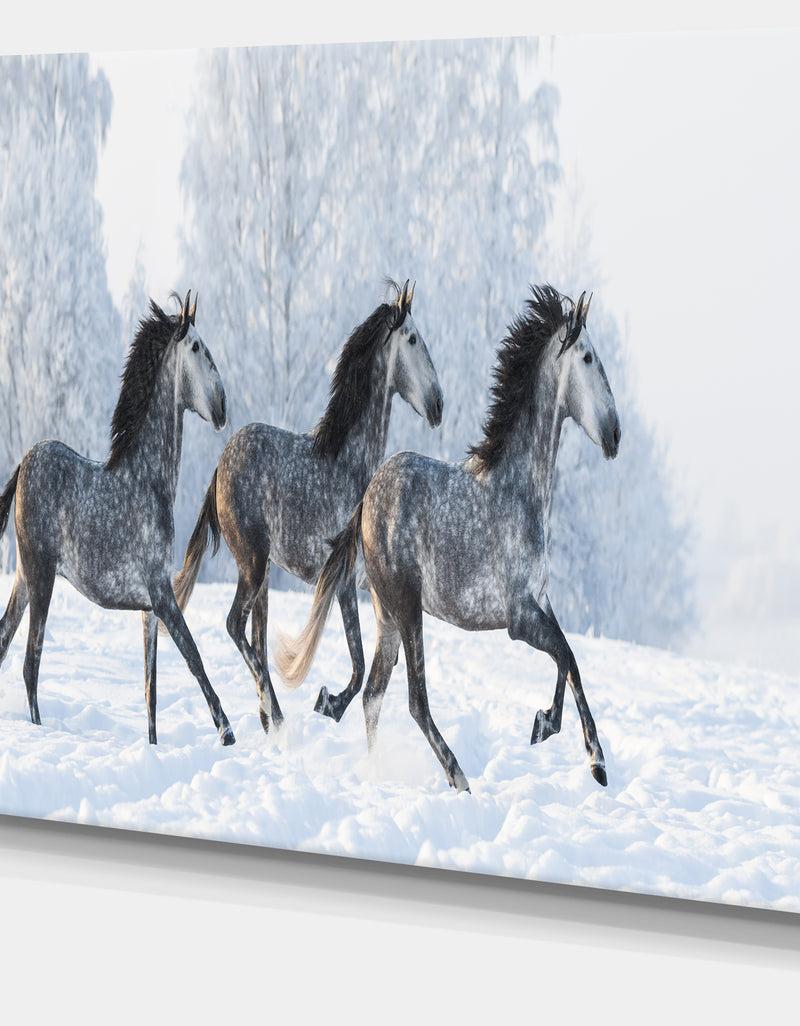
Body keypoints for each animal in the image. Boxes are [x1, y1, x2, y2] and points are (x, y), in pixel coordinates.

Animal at [0, 291, 236, 747]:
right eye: (197, 347)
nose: (222, 408)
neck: (146, 481)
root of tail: (25, 462)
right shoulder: (162, 595)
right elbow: (194, 657)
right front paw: (227, 732)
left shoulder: (148, 608)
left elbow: (150, 690)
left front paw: (155, 747)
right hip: (41, 578)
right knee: (30, 663)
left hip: (23, 578)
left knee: (5, 642)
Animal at [171, 279, 443, 735]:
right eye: (413, 339)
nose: (438, 404)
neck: (350, 465)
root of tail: (221, 465)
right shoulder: (346, 581)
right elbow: (359, 664)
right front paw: (327, 703)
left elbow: (374, 664)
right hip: (253, 564)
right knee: (236, 627)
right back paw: (275, 715)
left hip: (261, 576)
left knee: (256, 638)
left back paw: (269, 717)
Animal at [275, 284, 621, 792]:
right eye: (591, 358)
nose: (615, 435)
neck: (517, 490)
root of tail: (369, 497)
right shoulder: (519, 617)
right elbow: (569, 657)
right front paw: (585, 754)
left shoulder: (541, 602)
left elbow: (568, 661)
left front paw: (556, 732)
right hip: (407, 607)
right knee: (414, 700)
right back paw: (458, 777)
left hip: (386, 615)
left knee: (374, 693)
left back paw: (373, 766)